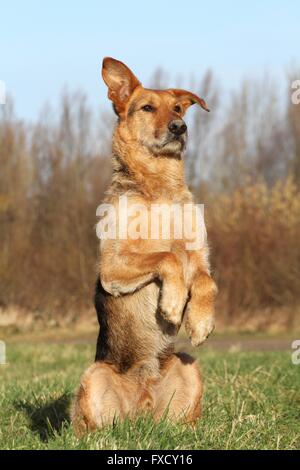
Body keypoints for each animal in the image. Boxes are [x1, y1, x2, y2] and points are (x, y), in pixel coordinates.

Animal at [72, 57, 218, 434]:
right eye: (147, 108)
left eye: (178, 108)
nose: (180, 127)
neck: (159, 183)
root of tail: (141, 409)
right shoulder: (113, 265)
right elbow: (166, 256)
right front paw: (173, 303)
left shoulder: (200, 257)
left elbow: (205, 281)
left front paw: (200, 321)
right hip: (94, 377)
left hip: (189, 367)